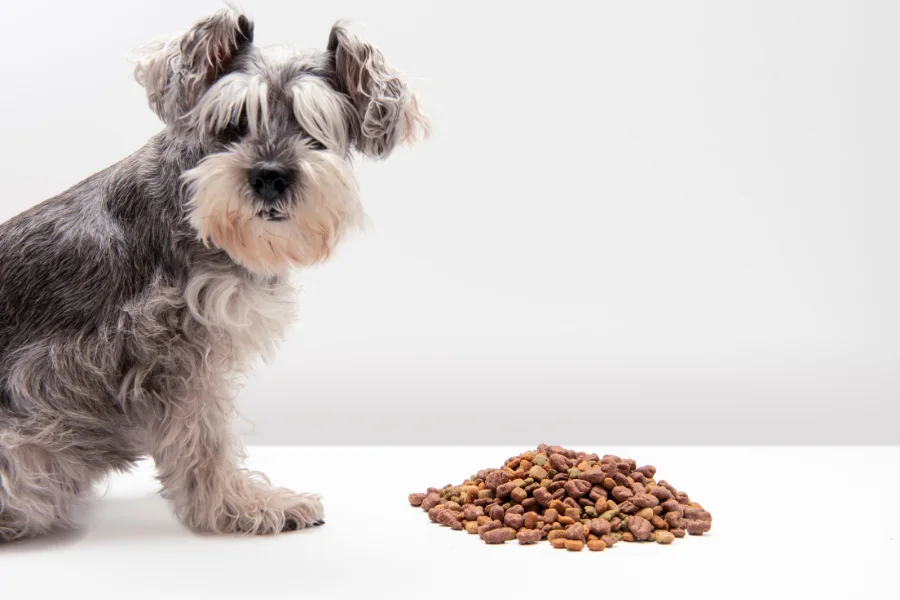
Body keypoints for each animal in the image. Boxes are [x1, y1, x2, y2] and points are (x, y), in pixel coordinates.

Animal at [0, 5, 428, 540]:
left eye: (316, 128)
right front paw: (244, 507)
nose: (270, 176)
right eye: (233, 122)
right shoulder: (172, 354)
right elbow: (204, 439)